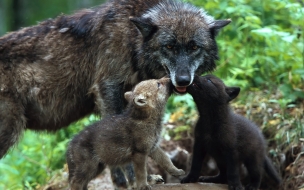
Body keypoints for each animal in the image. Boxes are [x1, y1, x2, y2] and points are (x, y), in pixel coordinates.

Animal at [0, 0, 230, 188]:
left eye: (194, 47)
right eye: (169, 46)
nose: (183, 80)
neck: (132, 39)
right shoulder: (108, 89)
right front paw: (131, 180)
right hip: (9, 132)